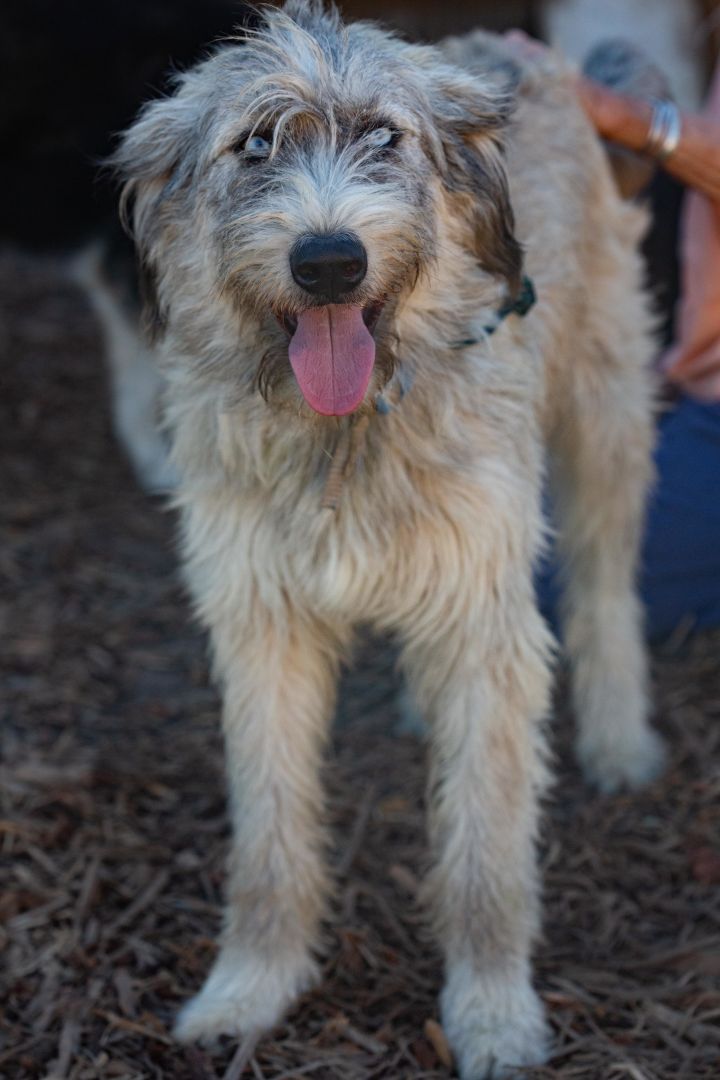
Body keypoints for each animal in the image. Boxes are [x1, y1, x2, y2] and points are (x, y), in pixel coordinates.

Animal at [113, 4, 669, 1075]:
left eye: (384, 136)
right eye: (255, 145)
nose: (329, 260)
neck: (347, 430)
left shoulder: (486, 623)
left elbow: (487, 849)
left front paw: (492, 1013)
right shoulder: (262, 625)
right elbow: (269, 834)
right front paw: (249, 988)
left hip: (606, 415)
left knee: (606, 584)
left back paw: (621, 737)